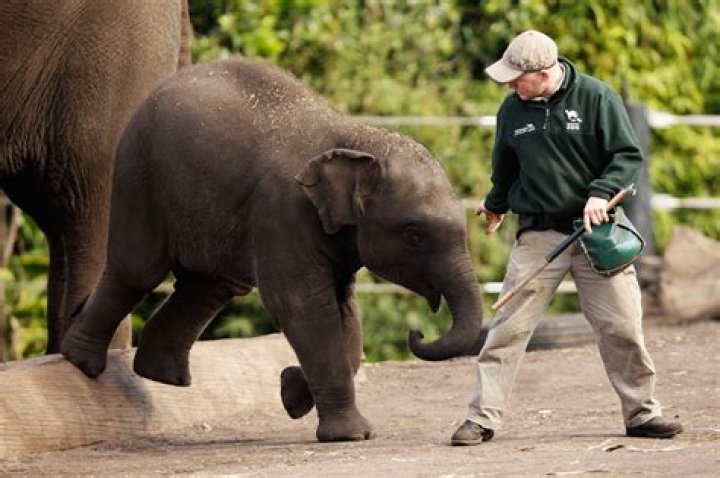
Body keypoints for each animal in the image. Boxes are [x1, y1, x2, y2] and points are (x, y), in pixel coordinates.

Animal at [61, 57, 483, 442]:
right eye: (413, 235)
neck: (354, 137)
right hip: (138, 171)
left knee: (211, 285)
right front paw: (350, 434)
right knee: (138, 269)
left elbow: (344, 309)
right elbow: (301, 304)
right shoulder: (283, 212)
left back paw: (163, 376)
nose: (418, 332)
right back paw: (82, 361)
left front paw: (292, 392)